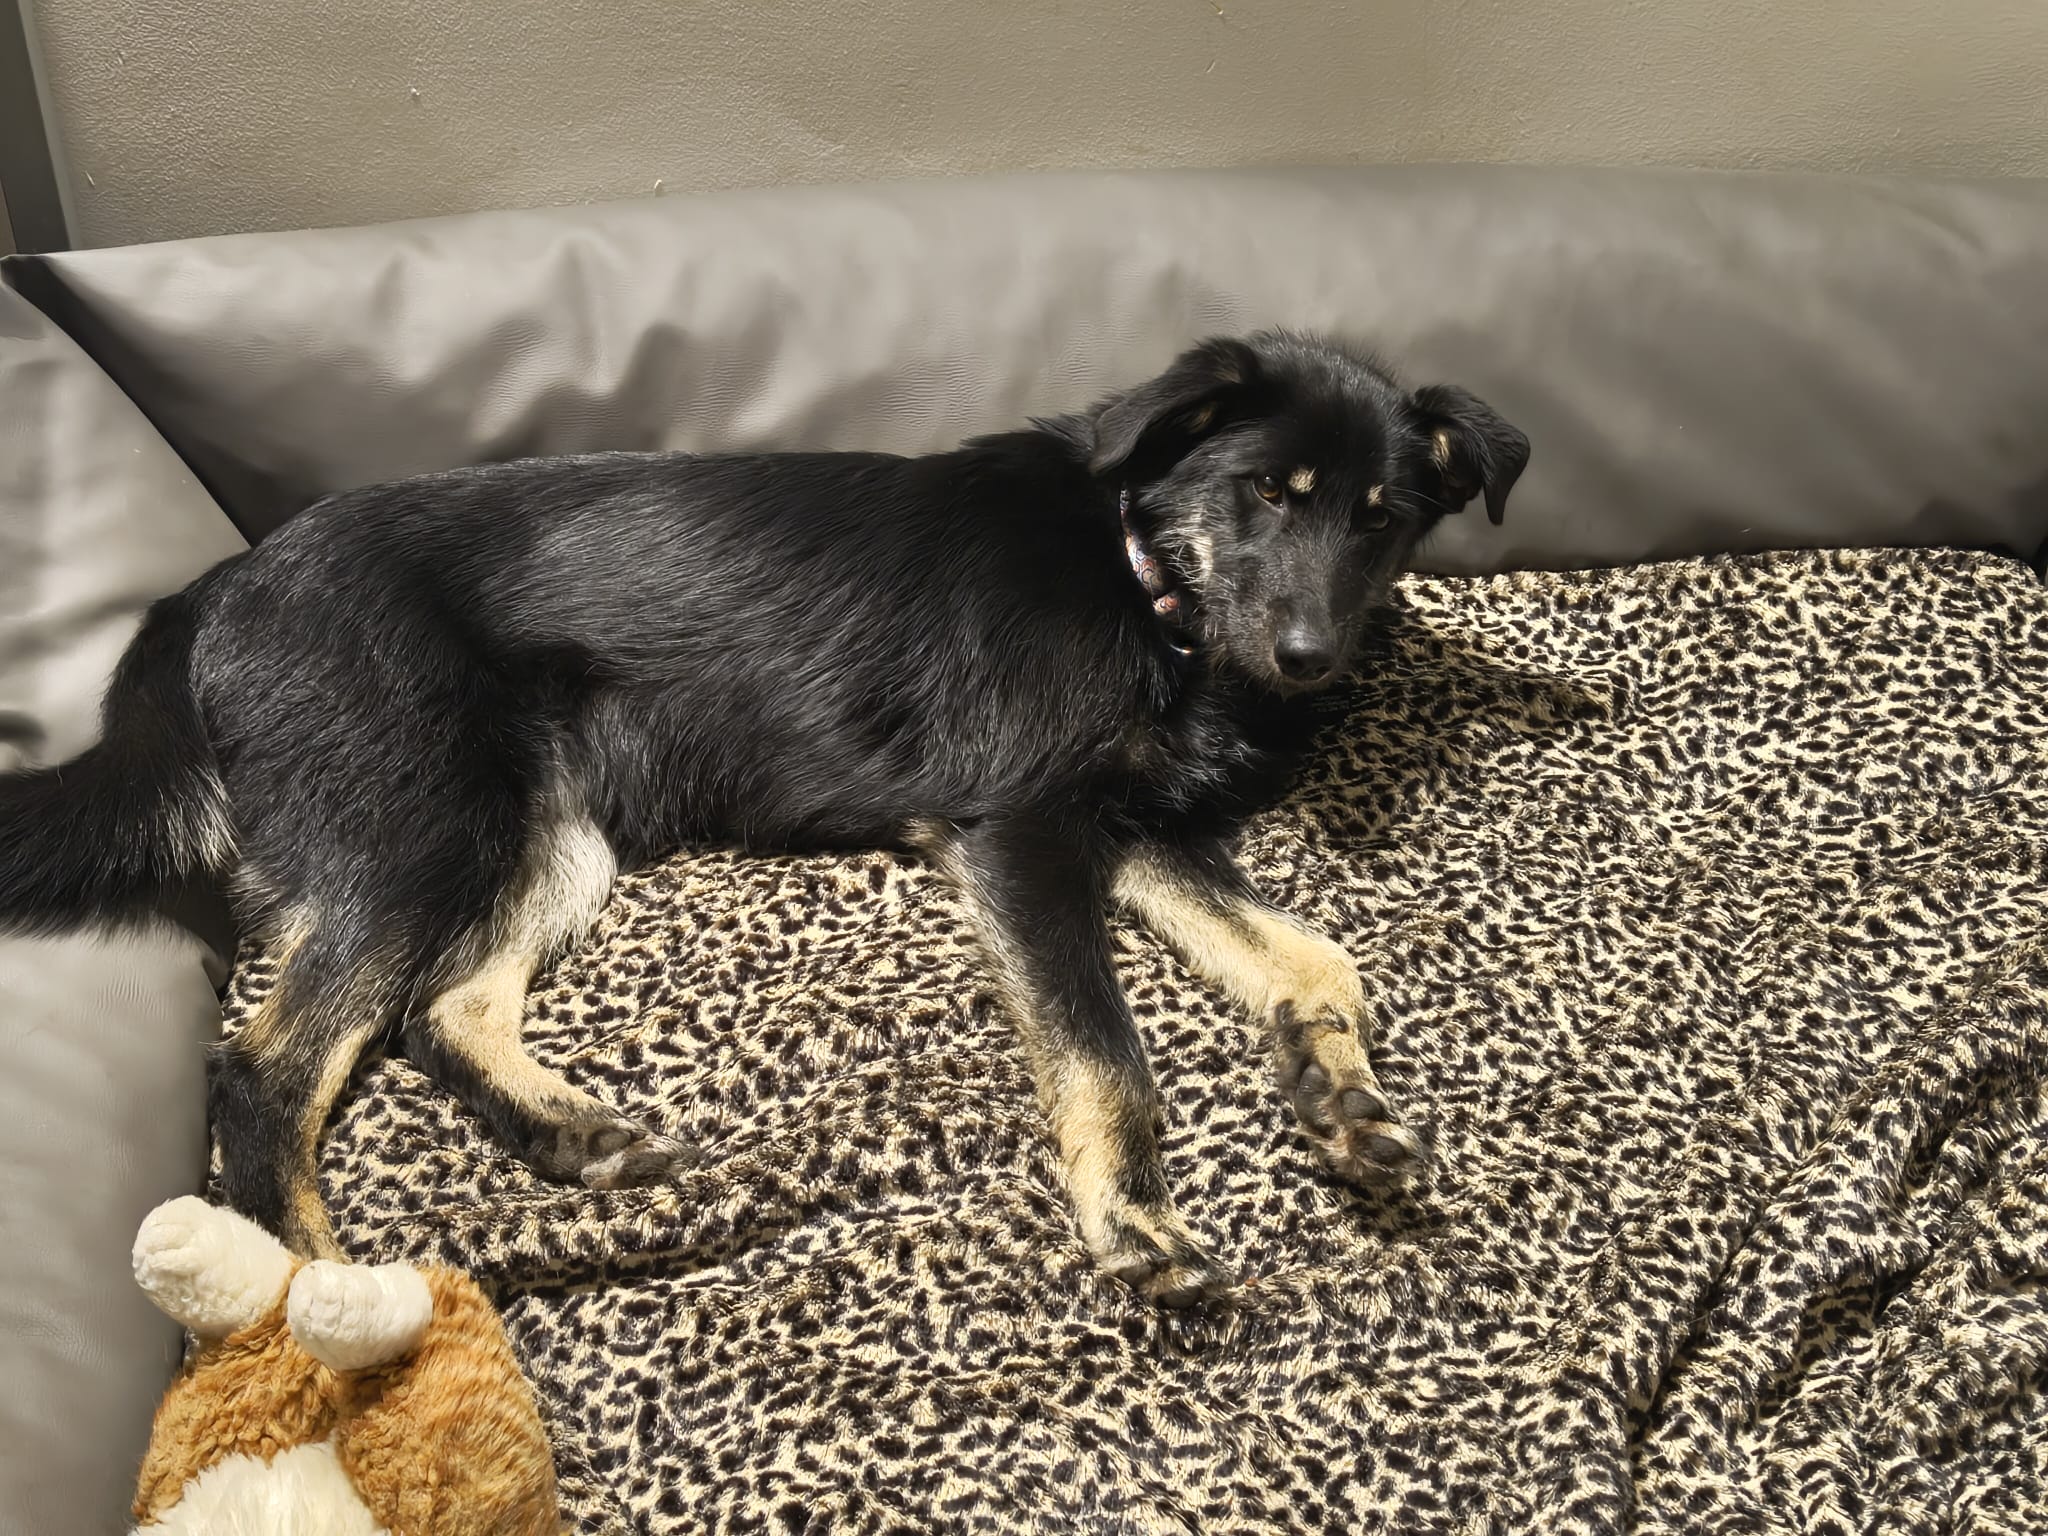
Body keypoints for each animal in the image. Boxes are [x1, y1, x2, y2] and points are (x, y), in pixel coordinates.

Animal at [0, 330, 1526, 1304]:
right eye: (1269, 491)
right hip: (422, 832)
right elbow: (1105, 1050)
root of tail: (211, 589)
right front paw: (1137, 1219)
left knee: (445, 1007)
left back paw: (572, 1139)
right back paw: (329, 1320)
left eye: (1381, 519)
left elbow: (1316, 955)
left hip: (546, 836)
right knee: (268, 1072)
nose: (1310, 661)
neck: (1143, 575)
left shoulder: (1135, 830)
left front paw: (1340, 1097)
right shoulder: (1022, 831)